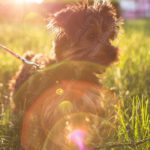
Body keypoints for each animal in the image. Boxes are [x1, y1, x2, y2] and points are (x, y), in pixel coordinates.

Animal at [9, 1, 121, 150]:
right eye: (91, 35)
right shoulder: (50, 108)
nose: (112, 53)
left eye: (109, 37)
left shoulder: (84, 105)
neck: (76, 72)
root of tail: (29, 57)